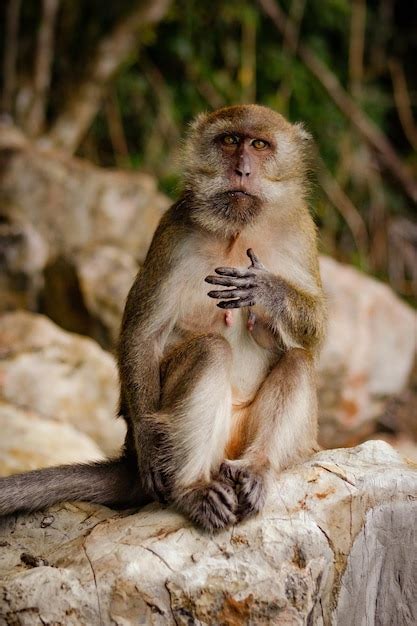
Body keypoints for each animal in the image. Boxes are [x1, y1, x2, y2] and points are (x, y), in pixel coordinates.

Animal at [0, 105, 324, 528]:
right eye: (230, 140)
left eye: (259, 144)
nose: (242, 170)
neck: (237, 230)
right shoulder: (174, 231)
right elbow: (143, 334)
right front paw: (150, 446)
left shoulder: (301, 230)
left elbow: (316, 329)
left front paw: (267, 290)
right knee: (208, 351)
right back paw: (190, 487)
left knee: (298, 359)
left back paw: (257, 467)